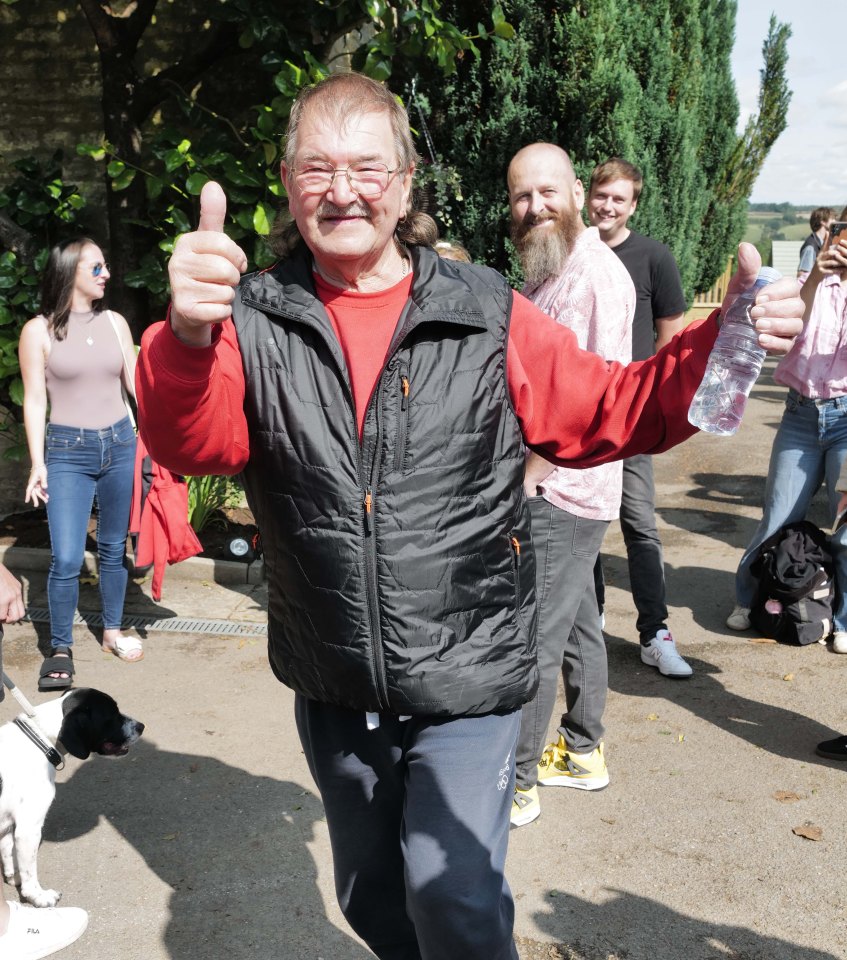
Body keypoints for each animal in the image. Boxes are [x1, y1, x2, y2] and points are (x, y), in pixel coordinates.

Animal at [0, 688, 143, 908]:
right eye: (112, 714)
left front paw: (13, 877)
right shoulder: (28, 829)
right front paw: (37, 896)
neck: (41, 739)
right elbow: (30, 872)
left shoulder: (9, 823)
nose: (141, 726)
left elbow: (8, 852)